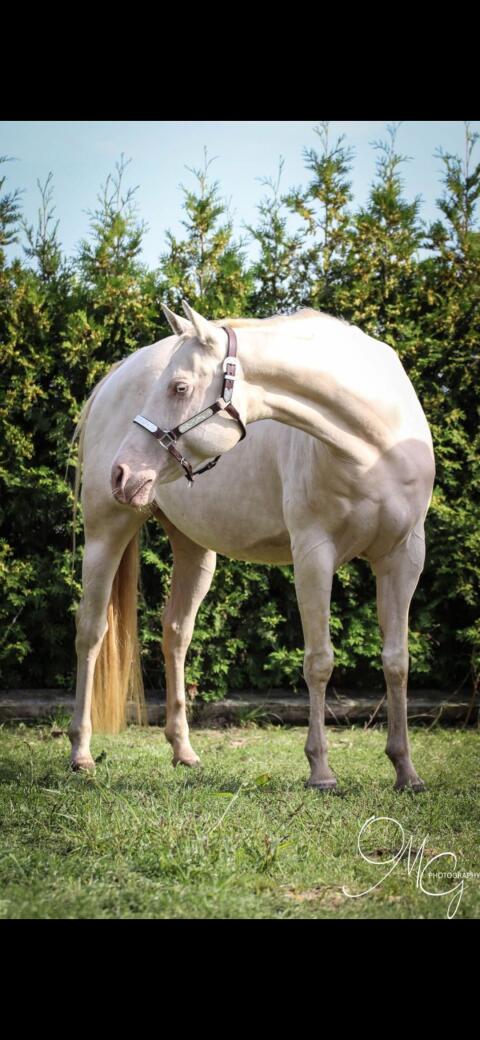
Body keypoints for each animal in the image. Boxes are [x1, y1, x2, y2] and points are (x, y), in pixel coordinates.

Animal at [71, 304, 435, 791]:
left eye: (179, 386)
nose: (122, 472)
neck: (375, 442)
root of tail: (113, 377)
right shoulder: (314, 555)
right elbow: (319, 660)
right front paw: (321, 771)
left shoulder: (404, 557)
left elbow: (397, 661)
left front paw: (405, 770)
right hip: (106, 532)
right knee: (91, 632)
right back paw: (81, 753)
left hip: (194, 550)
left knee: (176, 634)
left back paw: (183, 750)